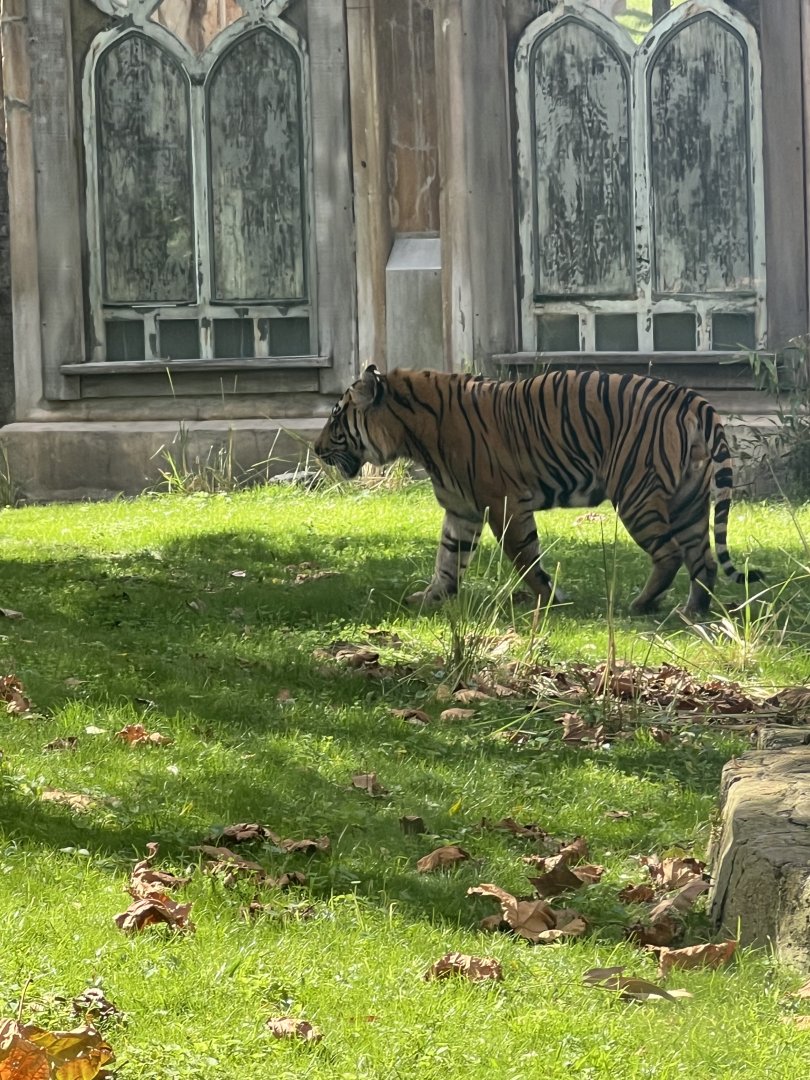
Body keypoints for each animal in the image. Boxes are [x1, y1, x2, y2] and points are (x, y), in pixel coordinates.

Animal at [314, 365, 762, 615]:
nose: (316, 450)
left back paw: (641, 605)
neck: (413, 434)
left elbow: (525, 558)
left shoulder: (503, 504)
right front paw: (431, 597)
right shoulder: (462, 510)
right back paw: (692, 611)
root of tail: (690, 397)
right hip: (688, 500)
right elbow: (448, 558)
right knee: (703, 560)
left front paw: (550, 599)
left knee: (669, 554)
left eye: (336, 419)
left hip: (636, 494)